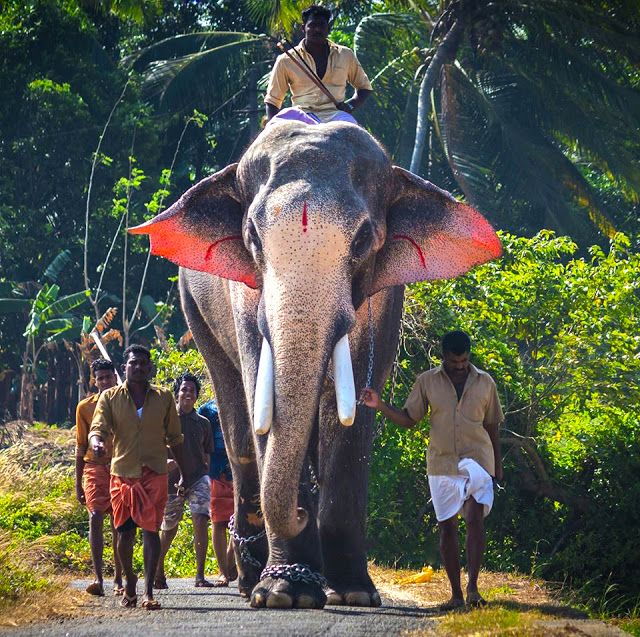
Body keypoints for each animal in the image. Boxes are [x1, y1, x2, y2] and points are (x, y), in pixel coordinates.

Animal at [130, 117, 500, 608]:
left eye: (362, 239)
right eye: (252, 237)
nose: (302, 512)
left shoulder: (385, 300)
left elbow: (352, 412)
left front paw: (355, 592)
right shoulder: (244, 294)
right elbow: (260, 396)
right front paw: (283, 593)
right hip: (193, 305)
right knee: (237, 426)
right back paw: (252, 579)